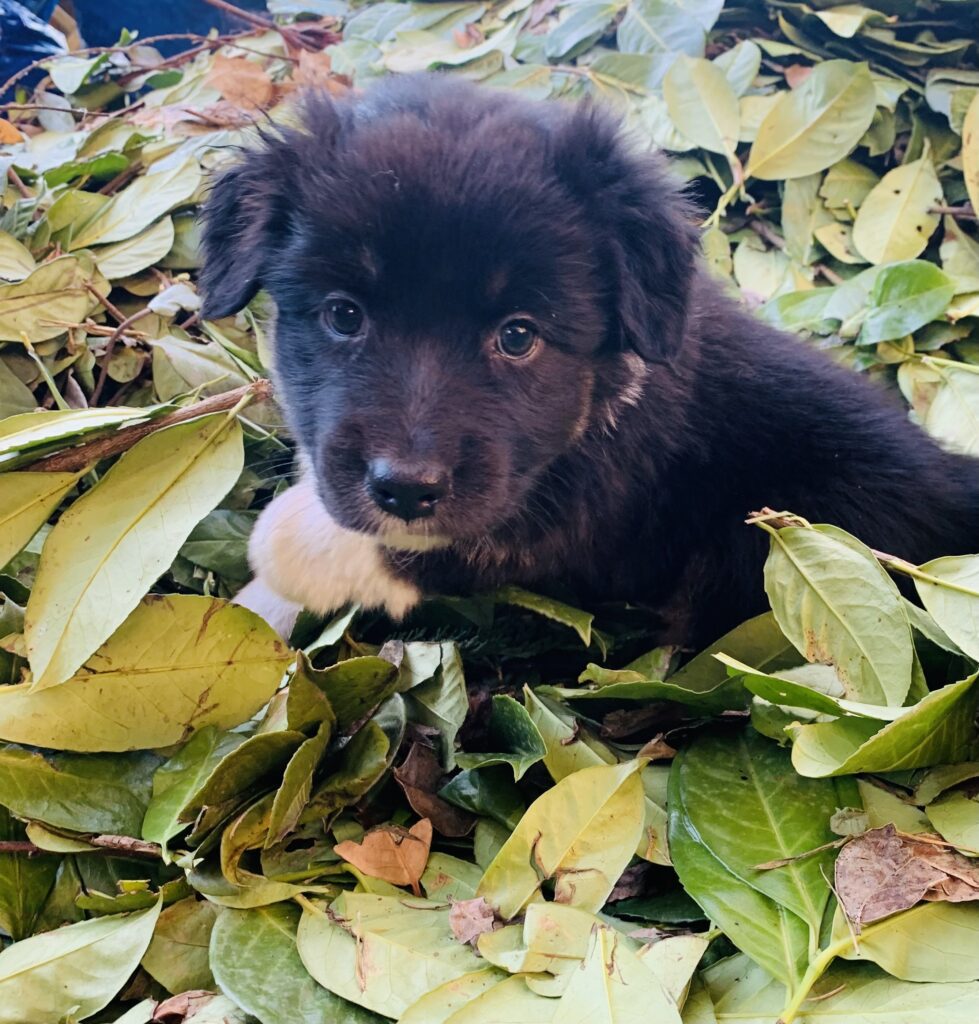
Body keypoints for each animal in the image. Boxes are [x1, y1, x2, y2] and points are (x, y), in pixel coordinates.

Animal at [196, 75, 979, 643]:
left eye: (518, 336)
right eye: (342, 315)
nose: (406, 488)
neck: (605, 394)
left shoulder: (574, 515)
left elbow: (402, 544)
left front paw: (279, 558)